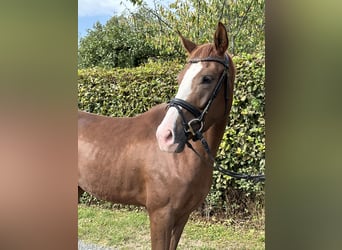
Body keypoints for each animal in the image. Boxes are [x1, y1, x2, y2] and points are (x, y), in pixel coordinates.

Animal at [78, 22, 235, 249]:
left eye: (207, 78)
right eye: (179, 78)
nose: (166, 136)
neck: (184, 158)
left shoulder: (182, 216)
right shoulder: (160, 215)